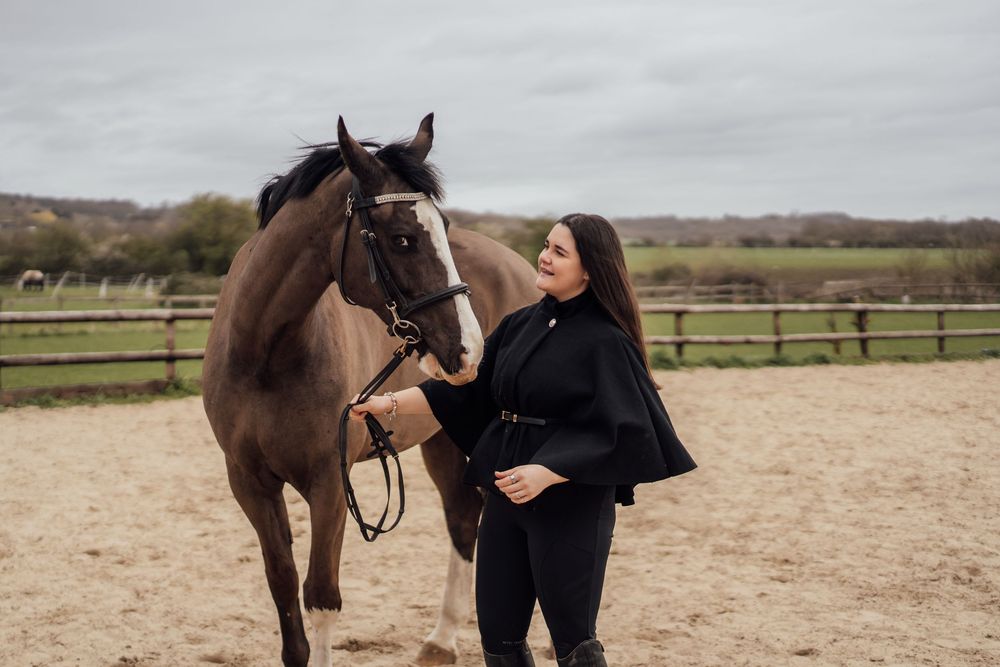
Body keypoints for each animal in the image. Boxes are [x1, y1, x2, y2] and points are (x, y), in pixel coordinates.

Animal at [201, 114, 540, 667]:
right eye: (402, 239)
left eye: (444, 229)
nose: (470, 350)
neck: (266, 354)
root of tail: (522, 267)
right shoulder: (250, 483)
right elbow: (283, 584)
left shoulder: (330, 485)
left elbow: (321, 597)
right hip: (441, 441)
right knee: (462, 518)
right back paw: (441, 640)